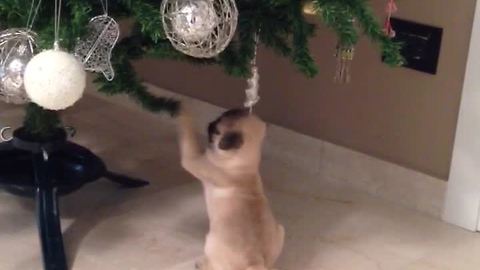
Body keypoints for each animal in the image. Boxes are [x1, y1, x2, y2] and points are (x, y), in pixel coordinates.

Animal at [179, 106, 284, 270]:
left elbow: (189, 135)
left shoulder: (193, 159)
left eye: (216, 130)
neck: (245, 165)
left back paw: (201, 263)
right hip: (281, 230)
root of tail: (256, 261)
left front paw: (184, 114)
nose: (210, 123)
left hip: (210, 242)